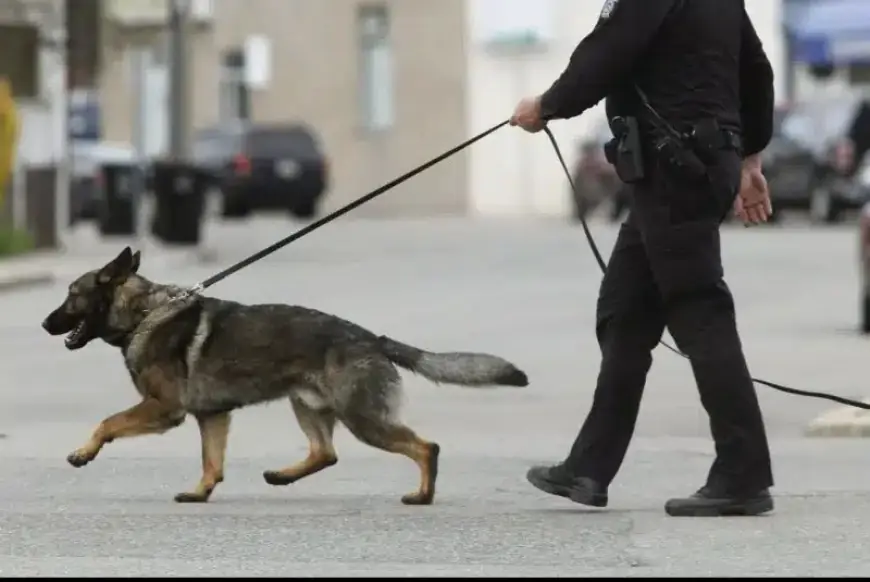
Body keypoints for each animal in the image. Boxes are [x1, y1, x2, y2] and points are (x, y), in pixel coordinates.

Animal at [41, 248, 528, 506]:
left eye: (71, 296)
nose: (44, 324)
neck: (143, 312)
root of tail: (374, 339)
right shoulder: (212, 416)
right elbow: (212, 463)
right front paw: (200, 493)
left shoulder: (164, 409)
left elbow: (107, 422)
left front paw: (83, 453)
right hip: (306, 406)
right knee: (326, 453)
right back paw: (281, 476)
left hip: (364, 420)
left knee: (426, 447)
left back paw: (422, 495)